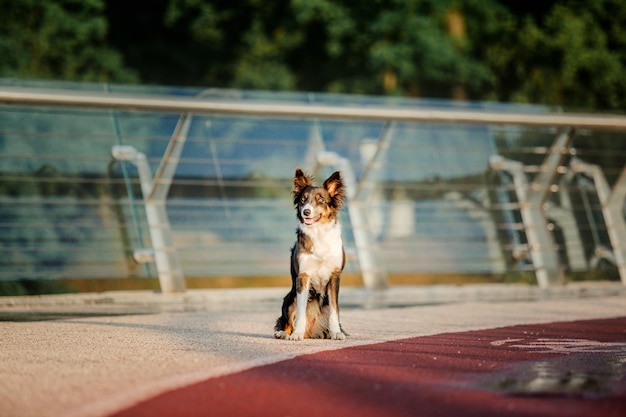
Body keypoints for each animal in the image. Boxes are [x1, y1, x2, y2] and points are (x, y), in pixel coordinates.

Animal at [274, 167, 346, 340]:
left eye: (321, 200)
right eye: (303, 200)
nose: (306, 211)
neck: (318, 232)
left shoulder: (334, 276)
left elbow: (335, 311)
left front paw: (337, 333)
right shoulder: (303, 276)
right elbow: (301, 312)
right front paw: (297, 334)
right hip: (290, 298)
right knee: (287, 320)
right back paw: (284, 333)